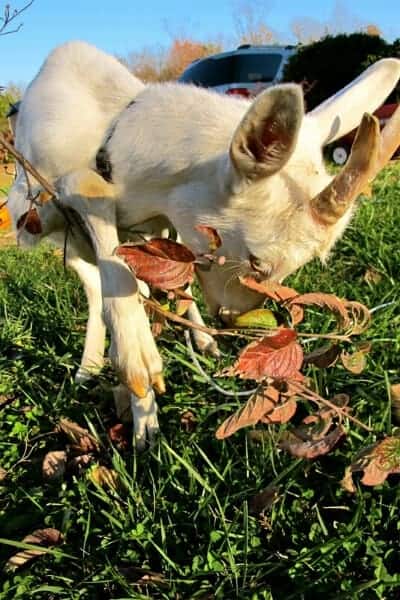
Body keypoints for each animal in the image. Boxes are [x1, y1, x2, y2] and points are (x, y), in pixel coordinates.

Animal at [8, 41, 400, 446]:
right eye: (256, 261)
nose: (234, 322)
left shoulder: (166, 220)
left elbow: (170, 273)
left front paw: (147, 409)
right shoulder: (43, 204)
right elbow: (95, 229)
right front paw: (136, 368)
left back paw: (197, 341)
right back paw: (91, 365)